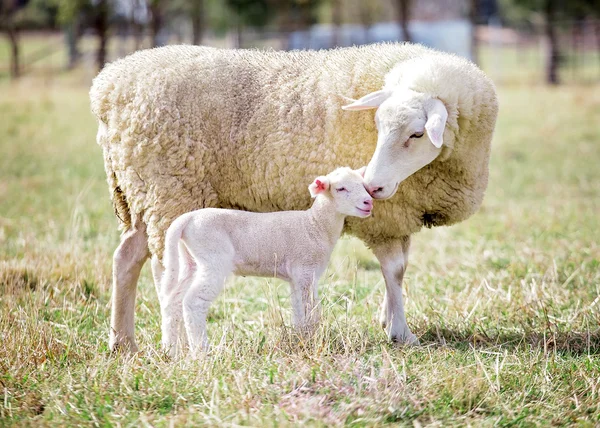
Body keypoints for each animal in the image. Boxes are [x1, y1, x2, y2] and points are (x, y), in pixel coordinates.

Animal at [162, 167, 372, 358]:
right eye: (341, 188)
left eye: (363, 185)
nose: (368, 202)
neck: (315, 225)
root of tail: (187, 218)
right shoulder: (305, 270)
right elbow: (311, 310)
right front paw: (311, 341)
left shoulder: (298, 277)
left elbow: (299, 310)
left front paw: (300, 339)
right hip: (213, 257)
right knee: (193, 301)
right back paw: (201, 352)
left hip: (190, 260)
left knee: (173, 300)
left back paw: (170, 351)